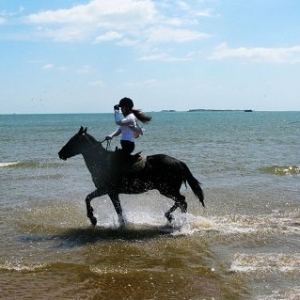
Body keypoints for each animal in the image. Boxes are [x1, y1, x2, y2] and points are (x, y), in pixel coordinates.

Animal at [58, 126, 204, 227]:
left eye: (73, 141)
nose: (60, 153)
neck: (101, 161)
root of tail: (178, 162)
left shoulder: (105, 189)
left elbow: (88, 198)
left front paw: (93, 218)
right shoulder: (113, 192)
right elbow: (118, 209)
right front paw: (122, 223)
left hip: (167, 189)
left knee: (182, 201)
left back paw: (177, 220)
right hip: (168, 190)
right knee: (181, 202)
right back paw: (174, 218)